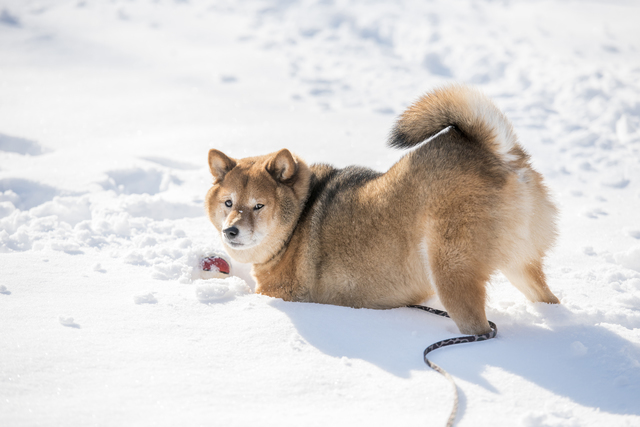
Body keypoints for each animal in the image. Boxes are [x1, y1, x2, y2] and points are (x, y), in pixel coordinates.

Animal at [206, 85, 560, 336]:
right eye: (229, 203)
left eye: (258, 205)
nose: (230, 231)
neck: (296, 224)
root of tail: (496, 156)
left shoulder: (279, 294)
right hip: (520, 262)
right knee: (548, 298)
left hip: (452, 271)